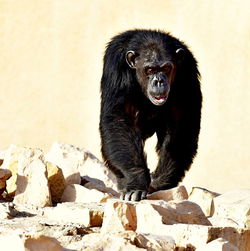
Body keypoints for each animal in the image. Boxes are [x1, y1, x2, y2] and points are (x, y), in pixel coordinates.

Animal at [98, 28, 202, 202]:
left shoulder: (188, 68)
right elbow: (118, 118)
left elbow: (183, 121)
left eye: (166, 69)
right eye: (150, 70)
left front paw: (159, 181)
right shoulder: (116, 65)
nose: (159, 81)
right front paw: (136, 181)